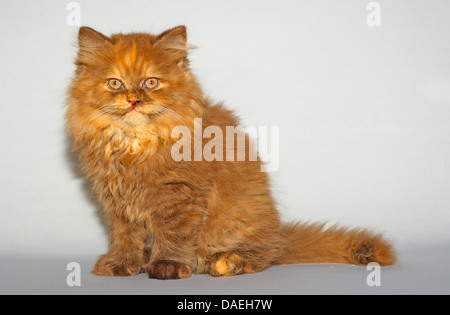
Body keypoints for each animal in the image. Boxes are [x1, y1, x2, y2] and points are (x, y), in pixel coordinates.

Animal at [65, 25, 396, 280]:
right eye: (115, 83)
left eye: (150, 82)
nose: (133, 100)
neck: (135, 144)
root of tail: (279, 231)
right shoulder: (117, 201)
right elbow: (125, 236)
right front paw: (122, 263)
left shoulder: (180, 197)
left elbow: (173, 235)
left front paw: (167, 265)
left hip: (243, 222)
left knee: (266, 253)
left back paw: (226, 262)